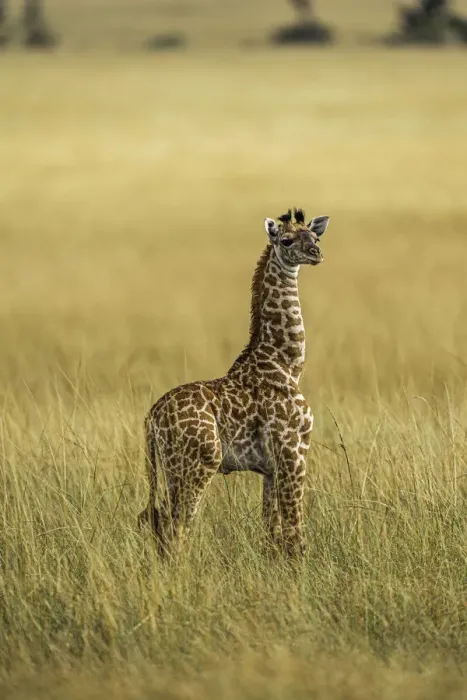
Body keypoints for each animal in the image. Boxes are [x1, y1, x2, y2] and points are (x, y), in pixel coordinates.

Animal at [138, 207, 329, 560]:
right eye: (286, 240)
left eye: (316, 237)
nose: (315, 254)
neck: (288, 364)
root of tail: (152, 418)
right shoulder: (293, 450)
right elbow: (295, 534)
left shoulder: (270, 468)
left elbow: (273, 533)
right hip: (198, 464)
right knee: (177, 527)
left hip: (168, 470)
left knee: (158, 523)